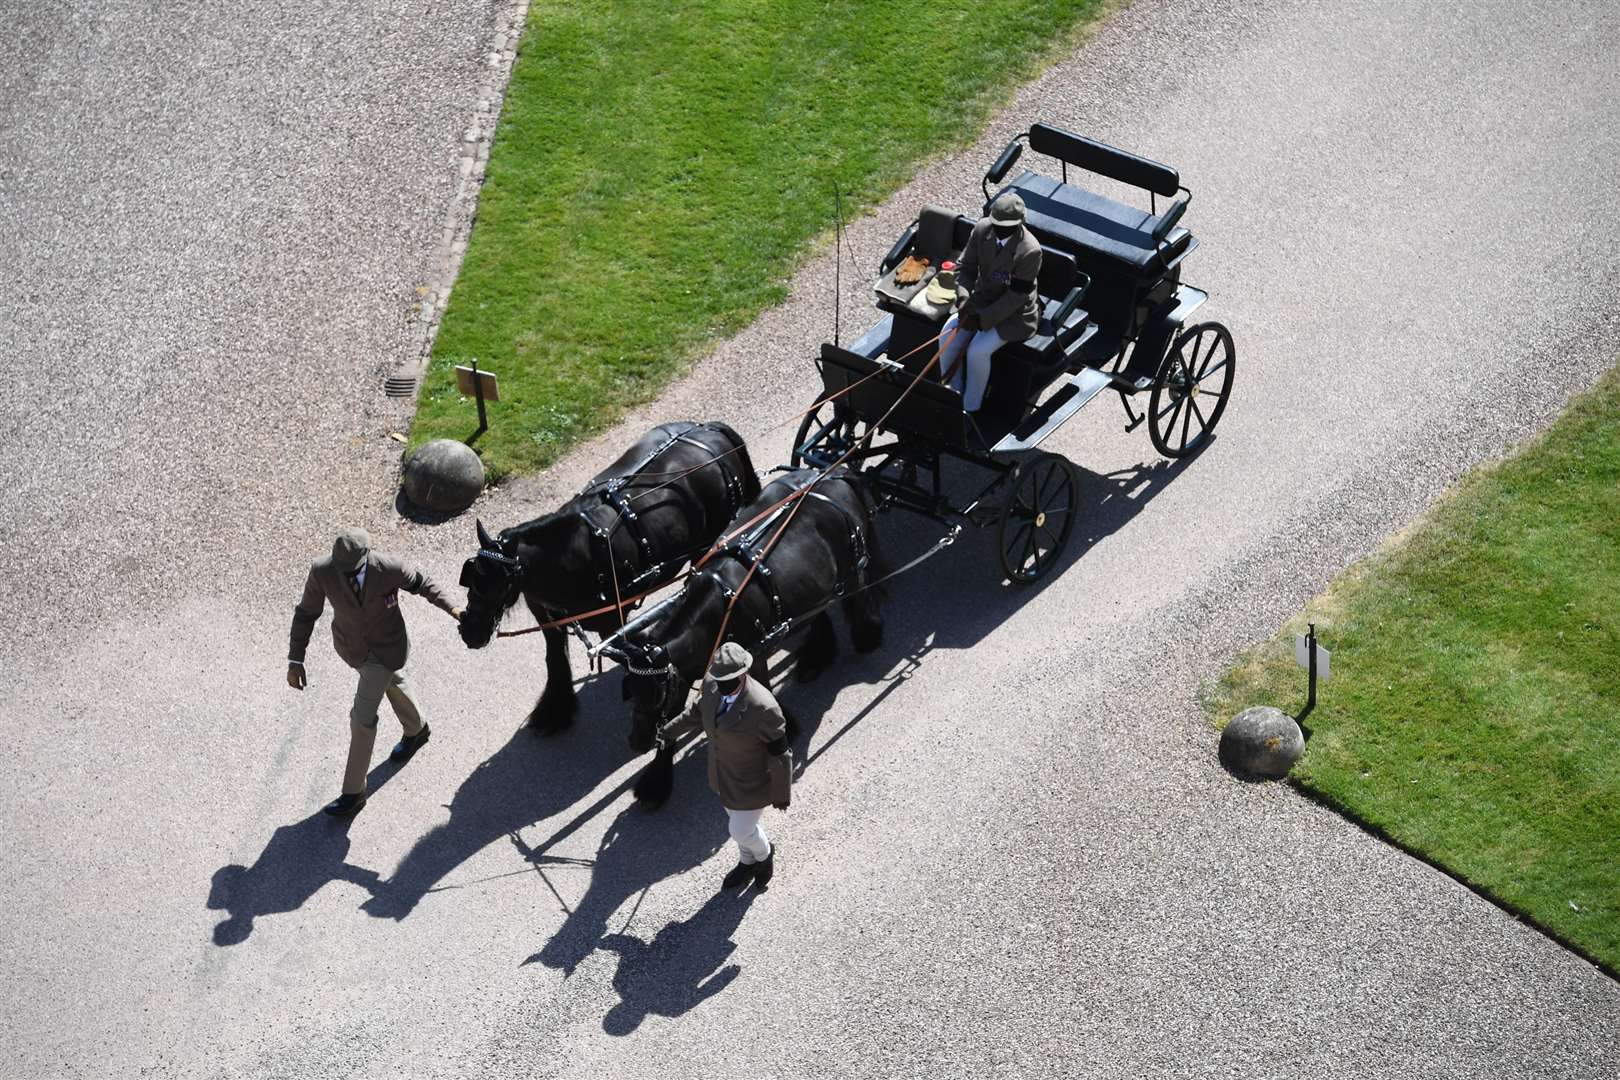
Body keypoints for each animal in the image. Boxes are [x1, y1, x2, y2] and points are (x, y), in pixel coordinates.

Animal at [460, 420, 754, 744]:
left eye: (495, 584)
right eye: (471, 577)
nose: (468, 630)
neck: (569, 556)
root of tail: (709, 430)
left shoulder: (611, 623)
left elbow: (631, 658)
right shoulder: (550, 621)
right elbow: (555, 659)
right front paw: (555, 711)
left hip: (710, 542)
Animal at [609, 466, 887, 777]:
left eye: (657, 695)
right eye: (631, 691)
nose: (636, 741)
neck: (715, 611)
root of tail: (834, 474)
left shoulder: (753, 655)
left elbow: (761, 689)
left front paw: (783, 728)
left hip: (854, 566)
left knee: (860, 594)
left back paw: (867, 637)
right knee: (820, 609)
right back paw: (817, 658)